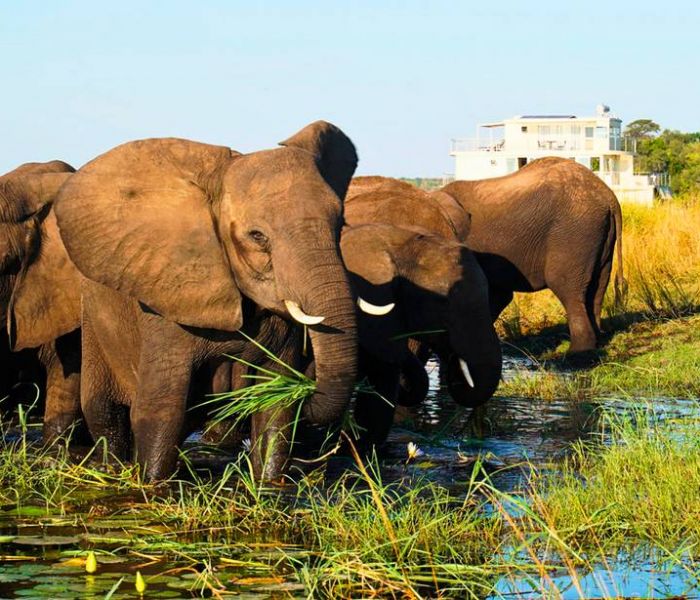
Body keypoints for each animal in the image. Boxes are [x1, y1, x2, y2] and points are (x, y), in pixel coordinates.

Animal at [53, 122, 360, 482]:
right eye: (258, 236)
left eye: (340, 225)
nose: (308, 388)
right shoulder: (168, 304)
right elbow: (162, 410)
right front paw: (152, 484)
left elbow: (275, 410)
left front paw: (270, 483)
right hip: (94, 320)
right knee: (105, 414)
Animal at [348, 157, 624, 354]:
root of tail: (610, 197)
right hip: (598, 239)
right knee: (596, 289)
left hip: (574, 232)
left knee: (569, 289)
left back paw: (576, 356)